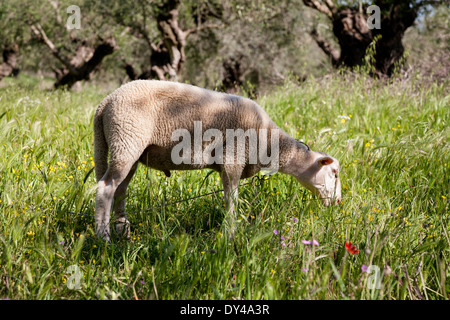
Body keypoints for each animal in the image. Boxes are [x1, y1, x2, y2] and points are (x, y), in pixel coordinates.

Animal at [95, 79, 342, 240]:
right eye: (335, 173)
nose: (338, 203)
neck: (270, 143)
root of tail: (105, 103)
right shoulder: (233, 158)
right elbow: (231, 200)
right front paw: (230, 233)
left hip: (125, 147)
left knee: (119, 190)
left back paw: (122, 232)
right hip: (126, 139)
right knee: (106, 188)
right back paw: (103, 238)